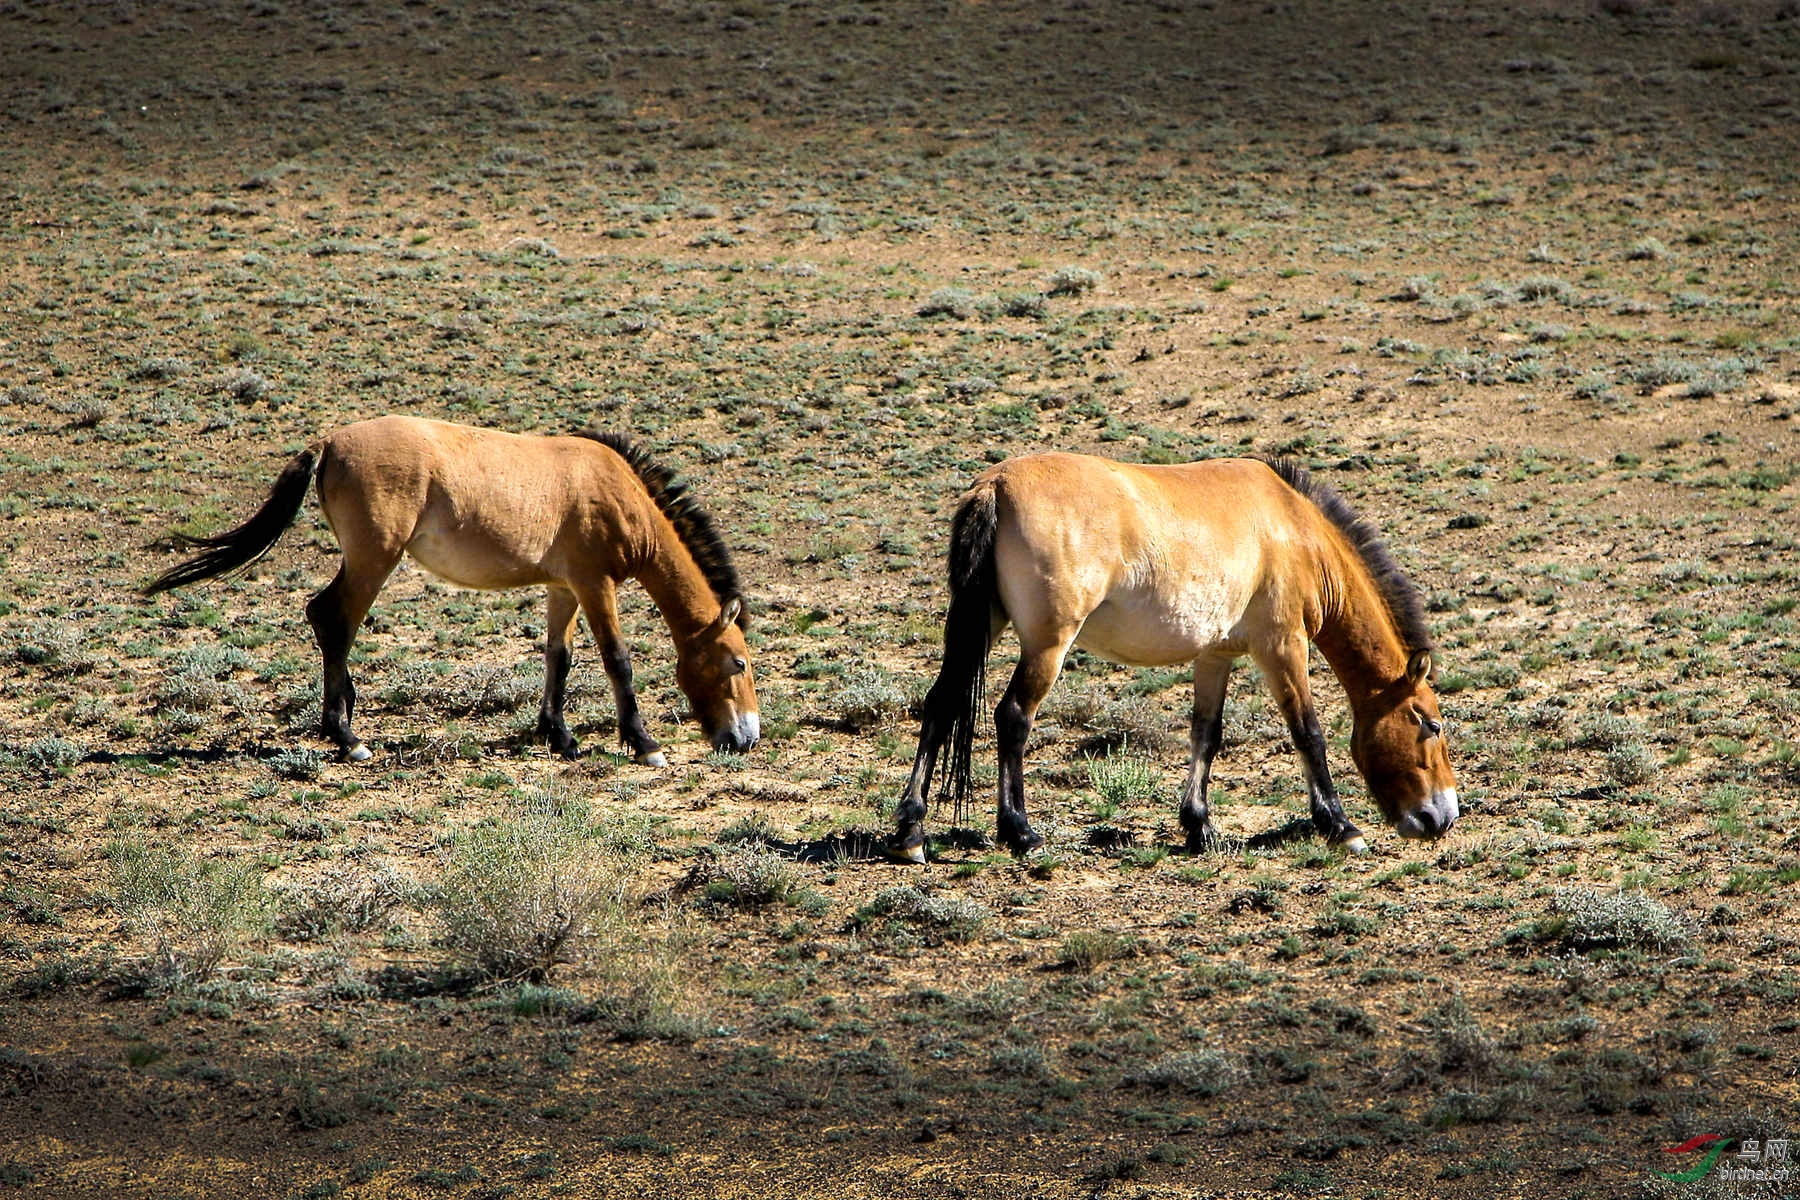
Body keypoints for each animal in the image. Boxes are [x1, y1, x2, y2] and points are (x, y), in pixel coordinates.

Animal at [143, 415, 760, 764]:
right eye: (738, 664)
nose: (746, 739)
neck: (615, 491)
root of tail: (331, 442)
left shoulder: (564, 588)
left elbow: (557, 656)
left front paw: (558, 737)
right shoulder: (595, 583)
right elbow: (617, 660)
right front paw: (644, 744)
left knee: (325, 618)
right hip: (375, 560)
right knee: (333, 619)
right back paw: (348, 737)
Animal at [890, 453, 1459, 862]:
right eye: (1430, 725)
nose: (1443, 816)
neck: (1295, 531)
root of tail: (996, 486)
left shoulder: (1216, 656)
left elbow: (1207, 734)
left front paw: (1199, 826)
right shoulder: (1282, 647)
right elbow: (1308, 733)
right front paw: (1341, 827)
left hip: (980, 627)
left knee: (939, 705)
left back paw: (910, 831)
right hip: (1047, 645)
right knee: (1012, 717)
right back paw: (1021, 833)